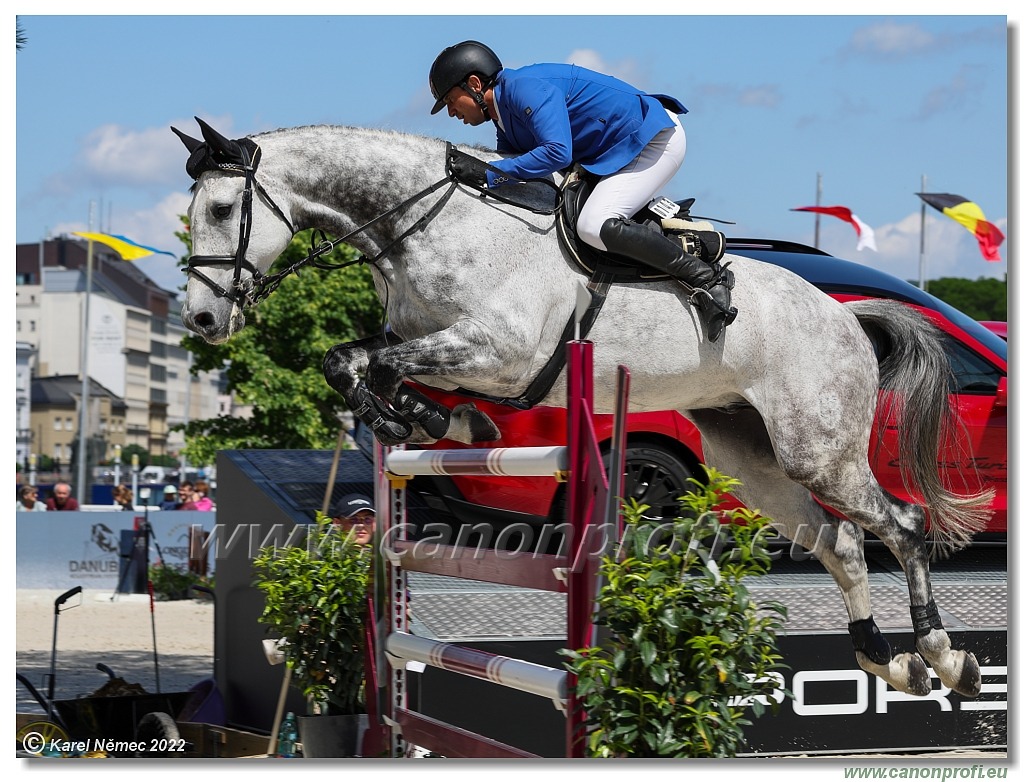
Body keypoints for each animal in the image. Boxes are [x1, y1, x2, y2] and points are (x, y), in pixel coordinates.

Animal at [176, 119, 991, 700]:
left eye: (220, 207)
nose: (204, 321)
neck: (426, 225)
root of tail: (846, 317)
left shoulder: (498, 351)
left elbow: (380, 365)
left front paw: (437, 418)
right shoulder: (424, 340)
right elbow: (348, 361)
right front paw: (429, 420)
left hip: (816, 448)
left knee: (904, 525)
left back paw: (942, 655)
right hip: (752, 458)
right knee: (843, 544)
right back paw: (888, 663)